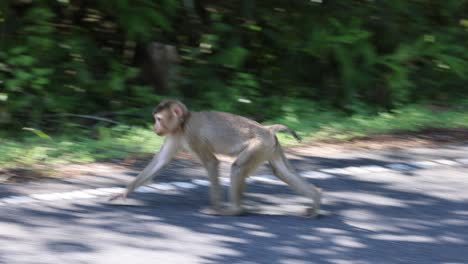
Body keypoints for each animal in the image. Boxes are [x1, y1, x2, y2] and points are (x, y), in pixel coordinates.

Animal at [109, 99, 322, 217]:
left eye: (158, 119)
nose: (155, 127)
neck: (183, 123)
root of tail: (267, 129)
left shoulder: (192, 134)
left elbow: (212, 162)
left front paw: (215, 208)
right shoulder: (175, 134)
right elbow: (161, 162)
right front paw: (125, 192)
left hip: (259, 145)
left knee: (238, 167)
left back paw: (235, 210)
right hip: (271, 147)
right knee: (281, 172)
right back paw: (316, 198)